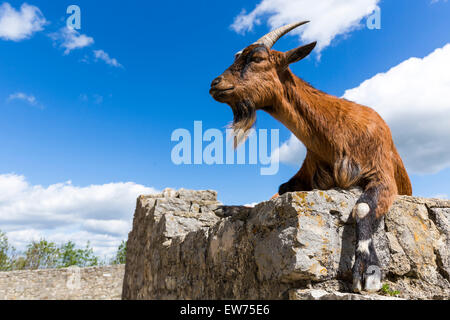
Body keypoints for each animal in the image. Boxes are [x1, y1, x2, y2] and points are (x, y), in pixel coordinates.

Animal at [209, 21, 414, 294]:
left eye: (257, 58)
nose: (215, 84)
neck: (336, 134)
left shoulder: (381, 171)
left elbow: (362, 207)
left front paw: (368, 271)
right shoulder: (305, 175)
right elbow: (280, 191)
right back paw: (226, 209)